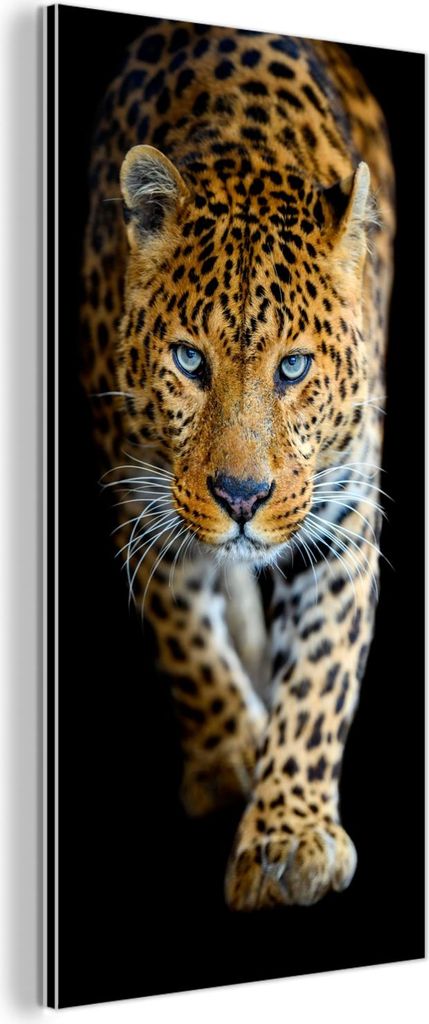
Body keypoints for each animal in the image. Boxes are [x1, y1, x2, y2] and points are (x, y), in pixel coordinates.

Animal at [80, 18, 395, 911]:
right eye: (190, 360)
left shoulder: (345, 518)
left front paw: (288, 834)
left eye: (293, 369)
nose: (243, 497)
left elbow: (321, 677)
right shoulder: (139, 493)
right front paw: (227, 757)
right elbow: (183, 634)